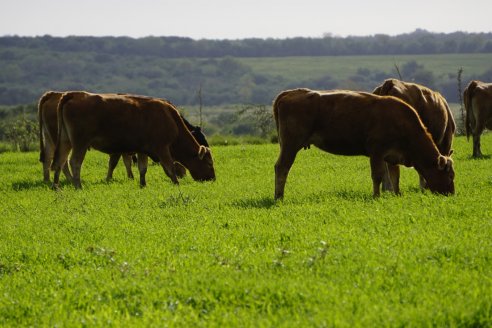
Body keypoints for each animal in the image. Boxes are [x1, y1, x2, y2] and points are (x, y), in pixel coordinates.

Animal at [50, 92, 215, 190]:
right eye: (209, 163)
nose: (212, 179)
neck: (170, 117)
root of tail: (73, 94)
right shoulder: (162, 149)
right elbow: (169, 168)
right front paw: (176, 183)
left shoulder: (143, 150)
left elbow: (143, 168)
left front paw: (143, 184)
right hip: (80, 143)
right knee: (74, 162)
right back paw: (78, 185)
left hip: (65, 141)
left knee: (60, 161)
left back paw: (56, 186)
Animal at [272, 88, 454, 199]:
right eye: (450, 175)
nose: (452, 194)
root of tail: (290, 93)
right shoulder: (377, 151)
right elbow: (378, 176)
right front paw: (376, 196)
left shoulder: (392, 155)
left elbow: (394, 176)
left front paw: (396, 194)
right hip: (290, 145)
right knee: (282, 167)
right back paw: (279, 197)